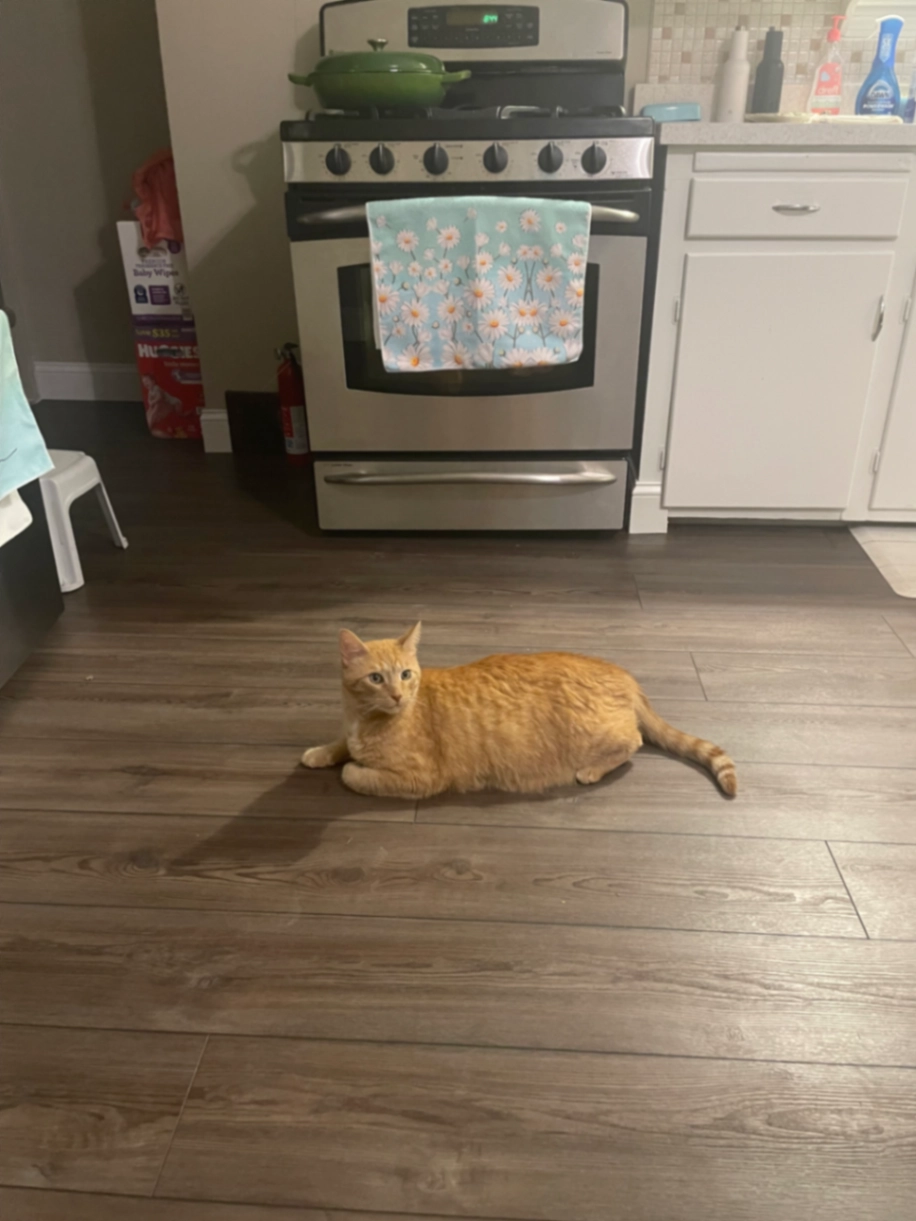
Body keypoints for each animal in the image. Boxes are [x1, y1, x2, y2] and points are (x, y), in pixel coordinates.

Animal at [302, 622, 737, 800]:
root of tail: (621, 673)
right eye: (376, 678)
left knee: (633, 742)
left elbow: (353, 773)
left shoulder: (420, 778)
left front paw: (349, 765)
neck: (364, 718)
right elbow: (340, 745)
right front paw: (319, 752)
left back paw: (592, 770)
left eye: (407, 674)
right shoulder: (350, 730)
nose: (397, 696)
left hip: (599, 735)